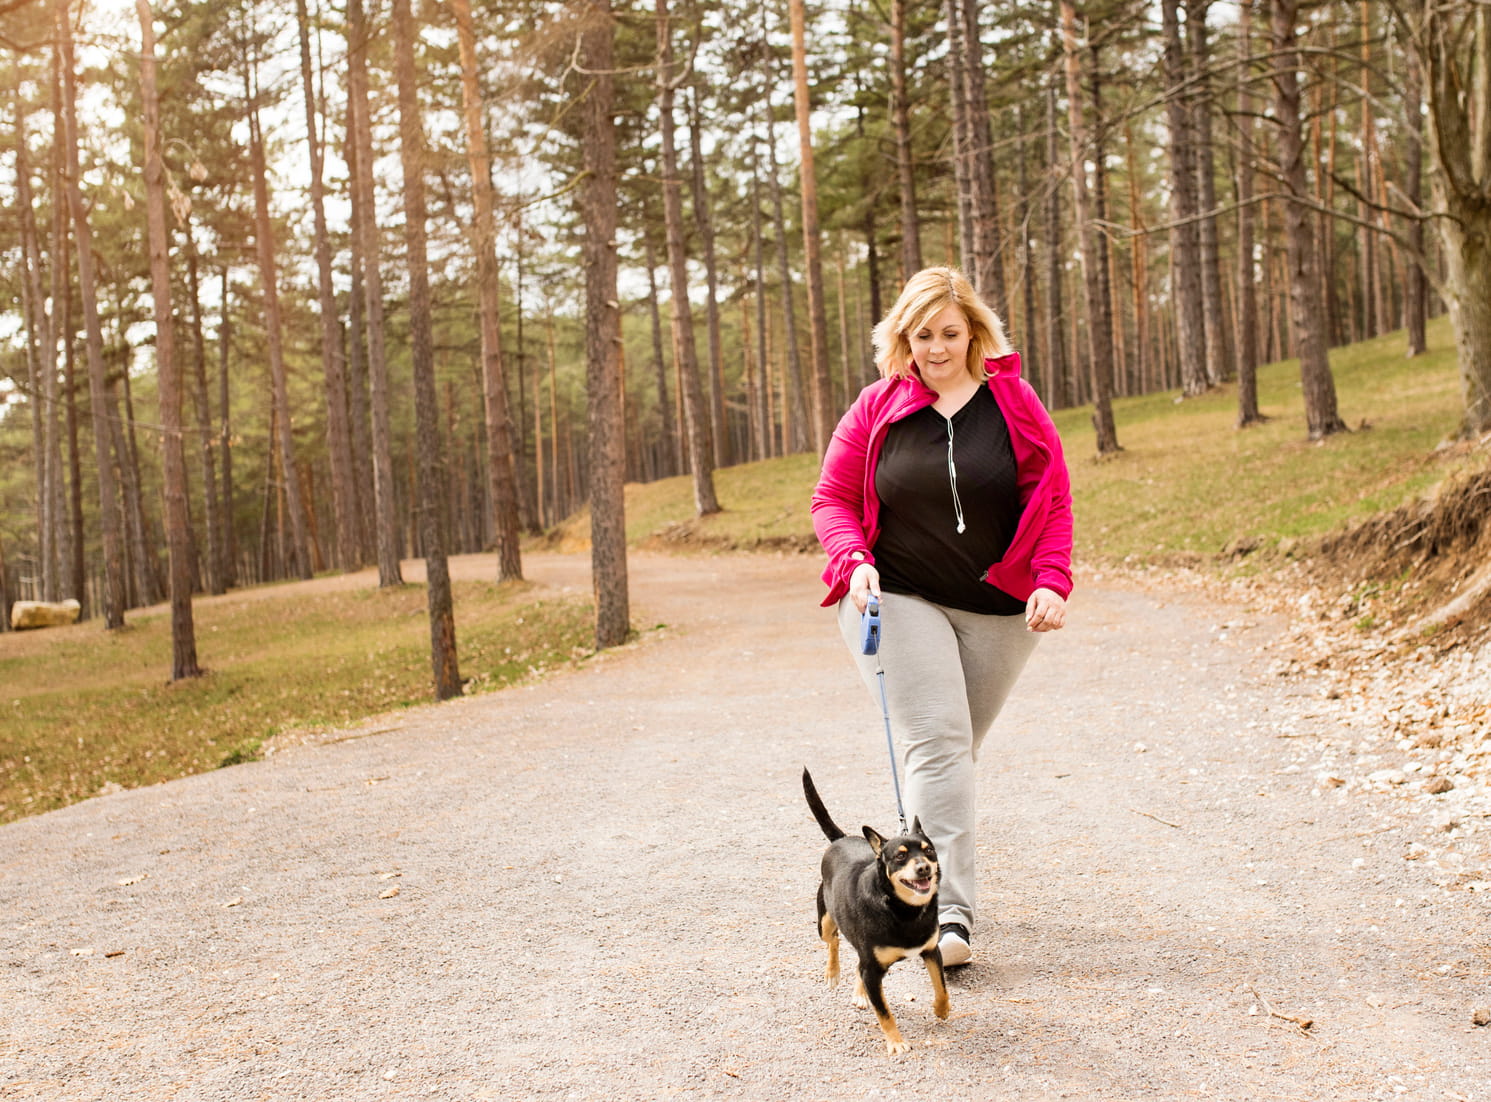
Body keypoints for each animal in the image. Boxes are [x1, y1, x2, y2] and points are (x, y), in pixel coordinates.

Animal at [805, 769, 942, 1049]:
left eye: (930, 851)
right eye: (900, 856)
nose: (923, 867)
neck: (904, 910)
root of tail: (841, 839)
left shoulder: (931, 950)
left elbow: (941, 987)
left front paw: (940, 1009)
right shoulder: (873, 970)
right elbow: (885, 1012)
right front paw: (896, 1043)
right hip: (825, 921)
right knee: (833, 940)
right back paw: (832, 972)